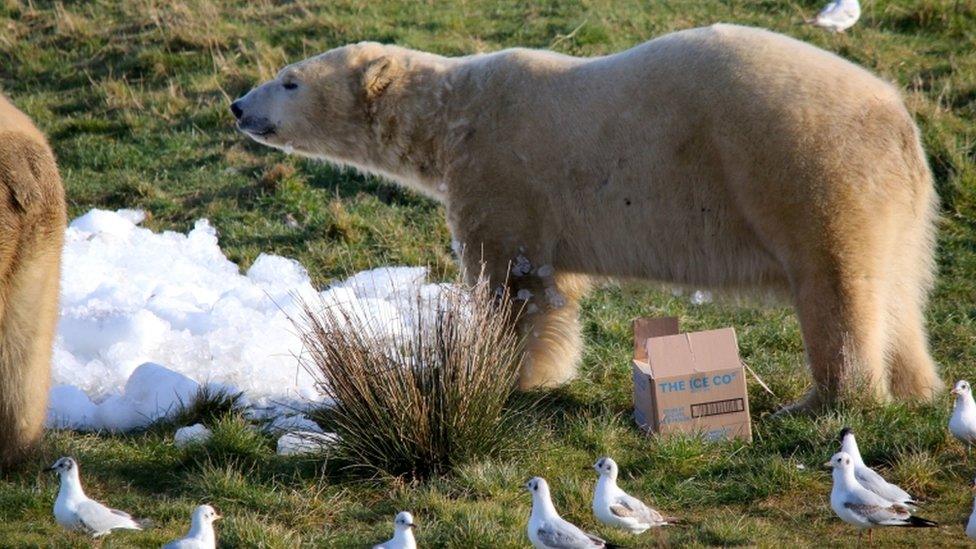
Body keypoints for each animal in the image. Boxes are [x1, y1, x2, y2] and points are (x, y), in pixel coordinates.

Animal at [233, 25, 940, 412]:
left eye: (290, 80)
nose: (239, 106)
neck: (451, 113)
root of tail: (896, 119)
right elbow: (558, 288)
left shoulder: (501, 173)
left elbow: (512, 283)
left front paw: (507, 375)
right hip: (895, 202)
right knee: (897, 292)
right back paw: (915, 386)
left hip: (805, 168)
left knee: (836, 286)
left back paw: (826, 397)